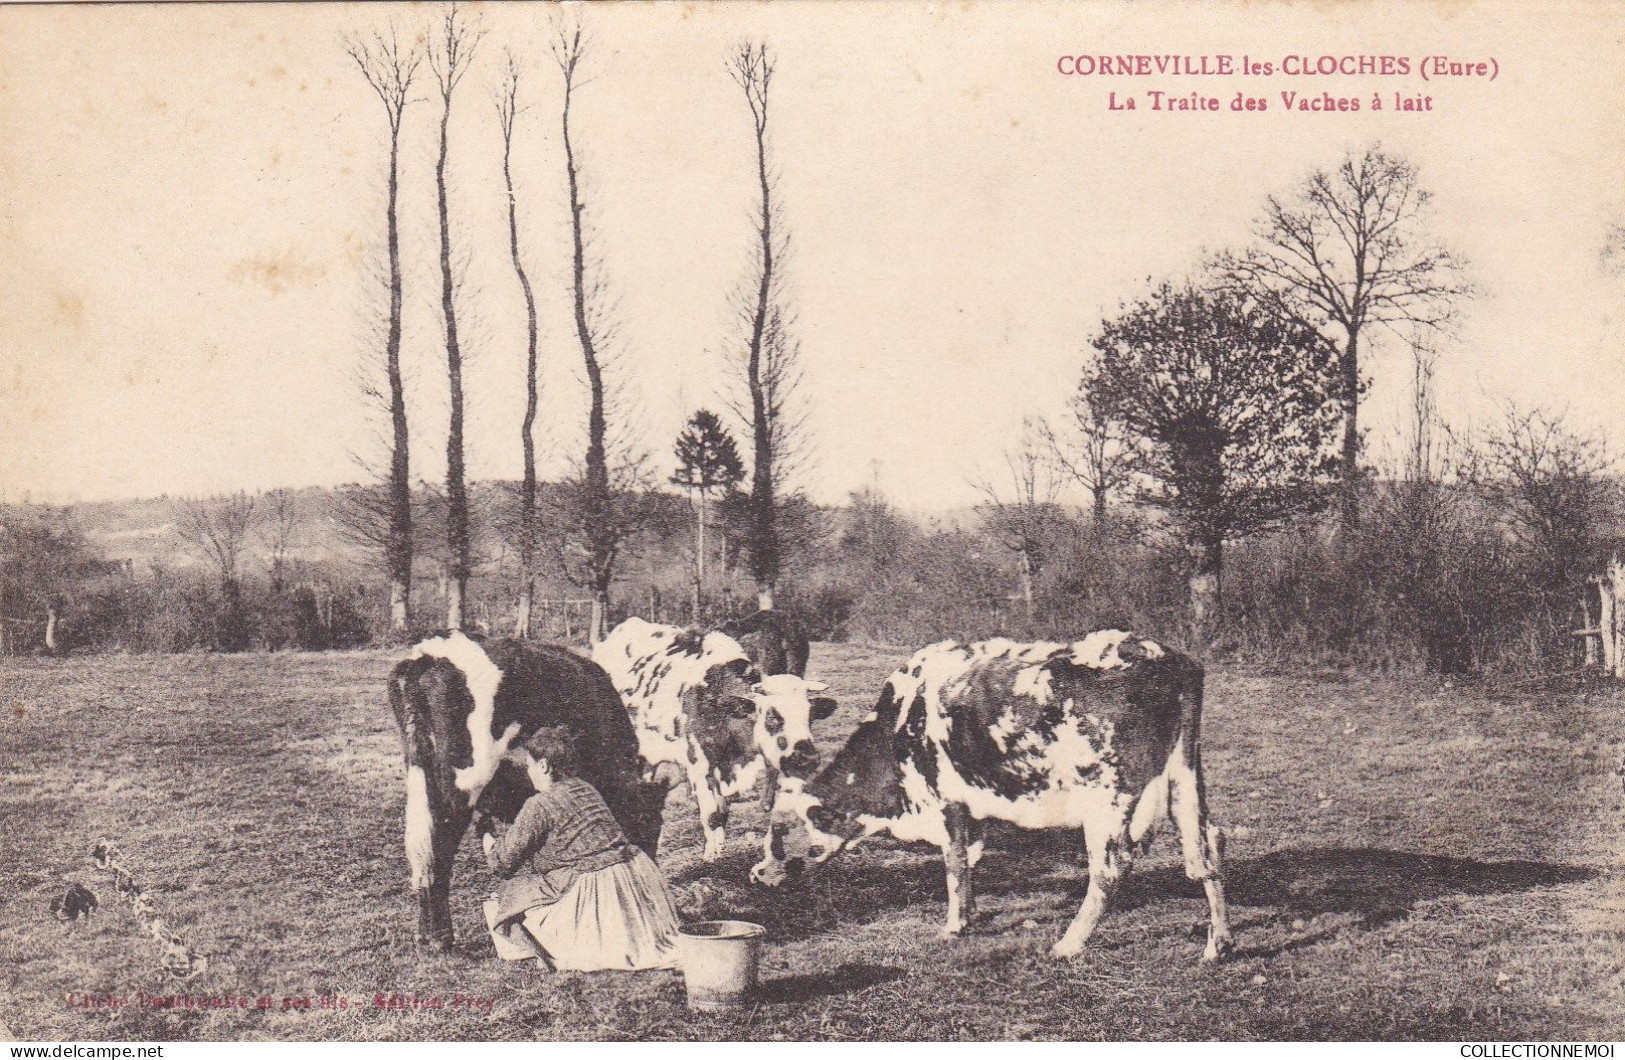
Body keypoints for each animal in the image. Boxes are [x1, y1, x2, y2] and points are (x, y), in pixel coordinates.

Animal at [390, 630, 663, 949]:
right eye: (651, 824)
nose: (653, 879)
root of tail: (429, 655)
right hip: (460, 783)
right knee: (438, 846)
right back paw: (440, 938)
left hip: (420, 772)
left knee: (420, 849)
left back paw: (426, 935)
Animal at [594, 617, 838, 871]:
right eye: (772, 716)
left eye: (810, 715)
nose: (809, 757)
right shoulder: (698, 763)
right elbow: (711, 815)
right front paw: (711, 857)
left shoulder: (727, 768)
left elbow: (722, 812)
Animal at [757, 634, 1228, 962]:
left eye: (782, 834)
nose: (758, 874)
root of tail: (1171, 659)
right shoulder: (973, 804)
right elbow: (971, 858)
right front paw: (970, 914)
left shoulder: (944, 798)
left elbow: (954, 861)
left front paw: (954, 925)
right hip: (1186, 777)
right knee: (1208, 846)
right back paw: (1218, 943)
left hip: (1107, 798)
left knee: (1111, 868)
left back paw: (1069, 943)